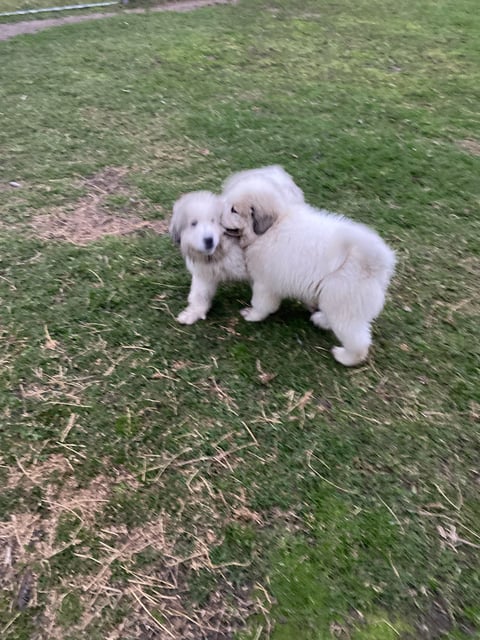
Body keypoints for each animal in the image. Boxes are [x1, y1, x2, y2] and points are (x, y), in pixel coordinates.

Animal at [170, 188, 248, 322]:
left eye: (213, 220)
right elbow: (200, 294)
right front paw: (193, 313)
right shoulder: (204, 274)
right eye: (193, 223)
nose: (209, 240)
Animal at [221, 182, 394, 368]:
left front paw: (252, 315)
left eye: (234, 210)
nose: (217, 216)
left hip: (343, 305)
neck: (272, 226)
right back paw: (319, 319)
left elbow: (261, 304)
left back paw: (344, 357)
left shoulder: (264, 284)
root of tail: (373, 262)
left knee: (358, 341)